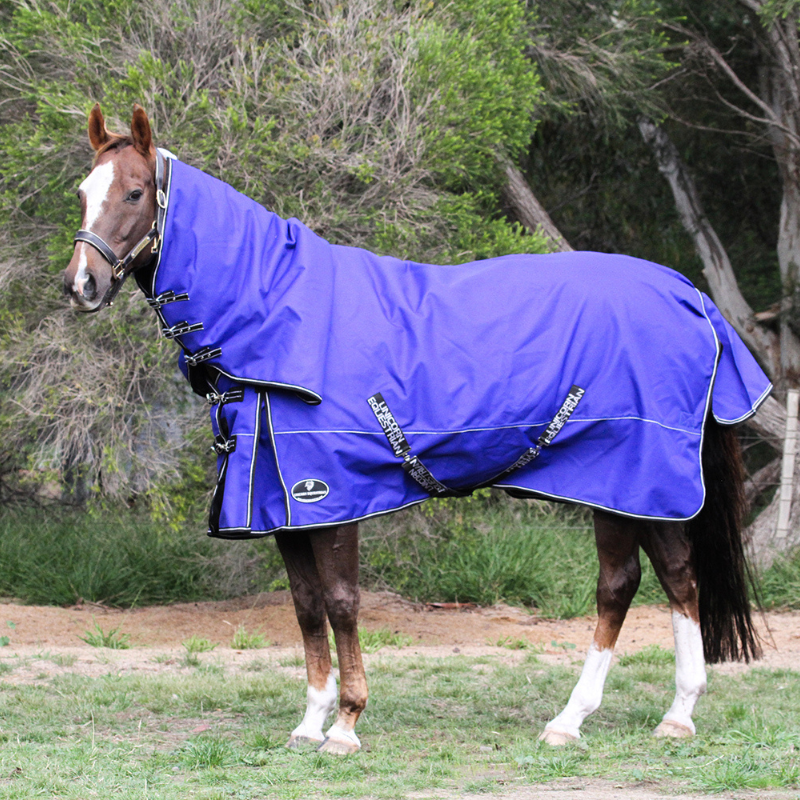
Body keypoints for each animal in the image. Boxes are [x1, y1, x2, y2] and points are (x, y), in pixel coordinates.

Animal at [63, 104, 767, 755]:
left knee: (622, 586)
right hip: (642, 491)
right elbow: (306, 606)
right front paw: (309, 723)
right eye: (81, 191)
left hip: (618, 480)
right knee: (678, 577)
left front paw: (346, 725)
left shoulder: (332, 498)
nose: (81, 285)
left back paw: (578, 719)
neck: (275, 318)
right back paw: (672, 714)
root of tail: (690, 296)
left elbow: (342, 601)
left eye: (133, 193)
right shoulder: (279, 507)